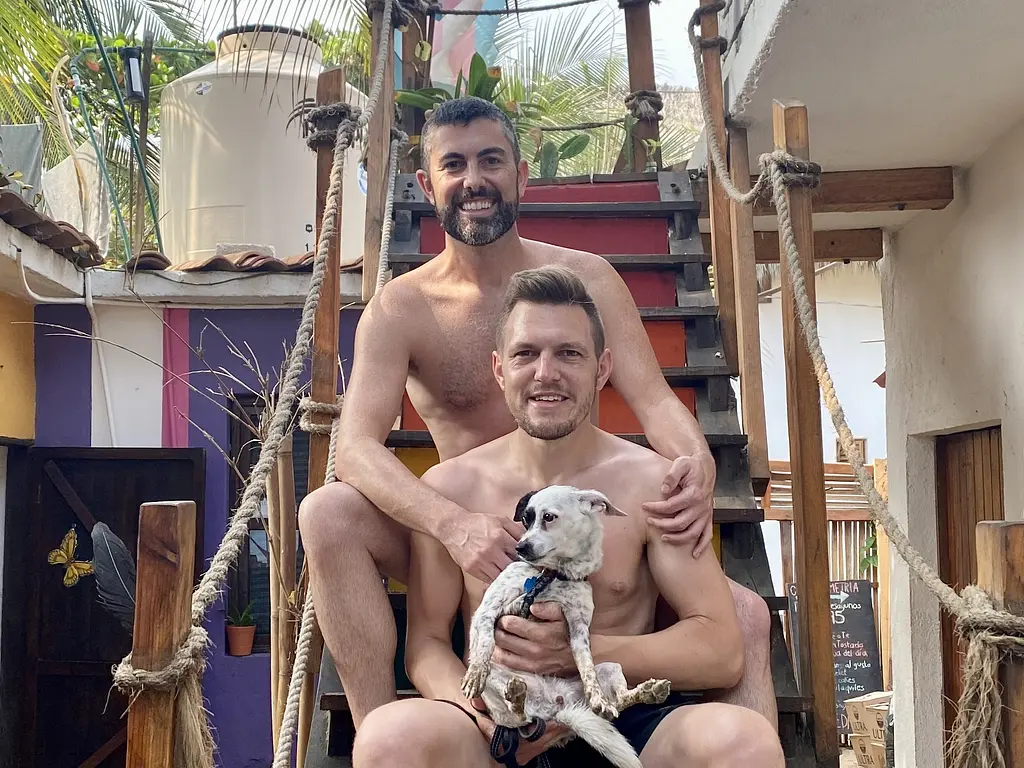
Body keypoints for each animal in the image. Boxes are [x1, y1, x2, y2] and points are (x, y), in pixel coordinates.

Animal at [462, 489, 671, 765]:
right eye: (526, 519)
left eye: (548, 517)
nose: (520, 547)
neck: (550, 576)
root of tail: (554, 708)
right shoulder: (487, 612)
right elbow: (485, 641)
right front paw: (475, 672)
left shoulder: (579, 631)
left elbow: (587, 669)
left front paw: (597, 696)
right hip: (497, 693)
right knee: (519, 720)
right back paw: (516, 695)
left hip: (611, 667)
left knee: (616, 705)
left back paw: (646, 692)